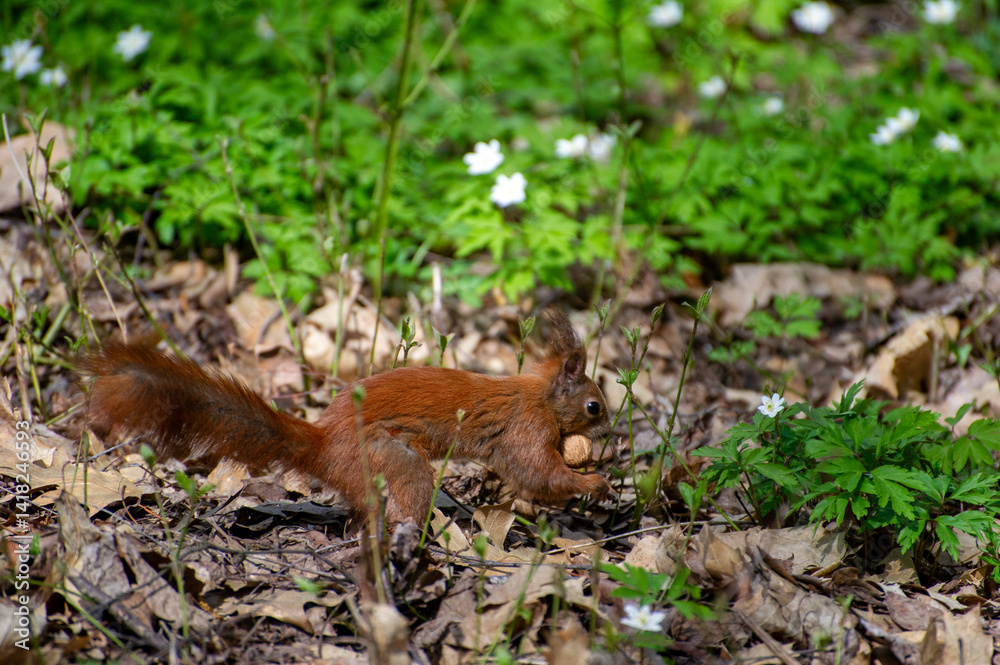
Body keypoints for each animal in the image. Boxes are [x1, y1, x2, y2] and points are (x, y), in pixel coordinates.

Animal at [81, 311, 612, 525]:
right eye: (594, 405)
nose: (609, 428)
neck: (541, 395)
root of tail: (322, 445)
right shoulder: (526, 427)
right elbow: (537, 473)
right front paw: (595, 482)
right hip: (390, 457)